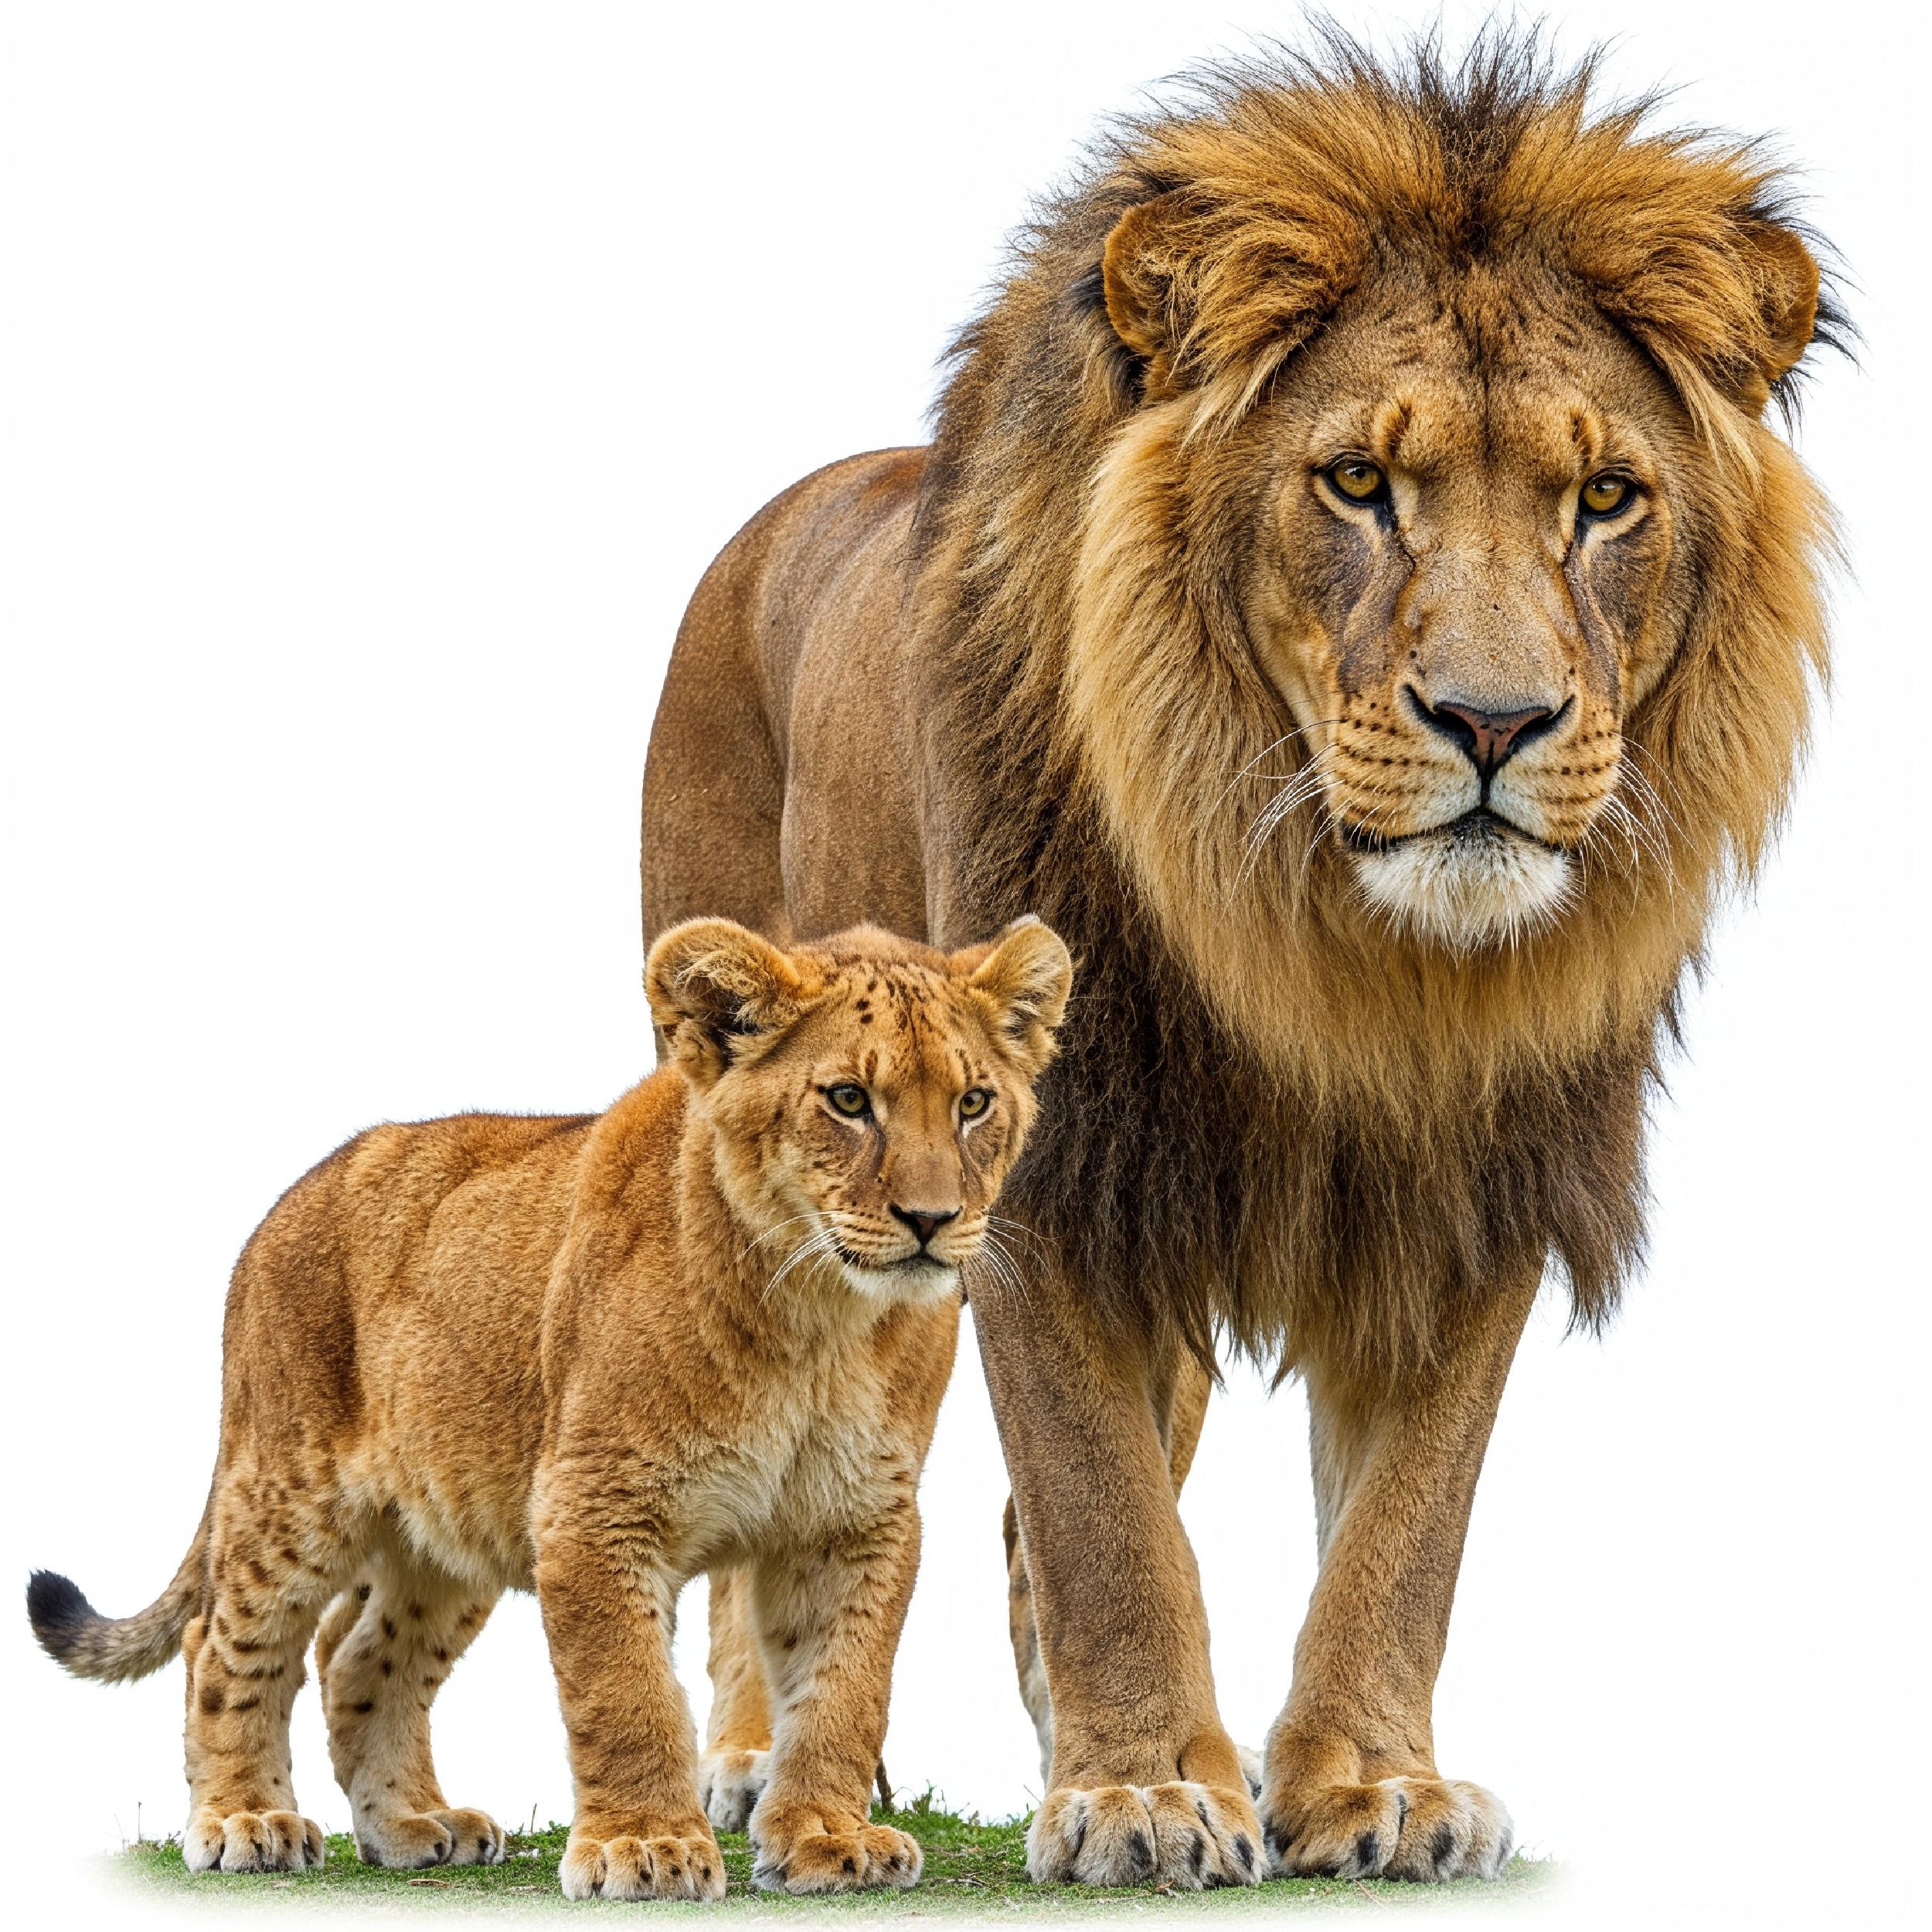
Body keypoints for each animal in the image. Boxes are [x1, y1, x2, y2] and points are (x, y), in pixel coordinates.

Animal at [27, 915, 1073, 1900]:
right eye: (849, 1100)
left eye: (974, 1103)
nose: (932, 1221)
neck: (818, 1323)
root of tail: (288, 1199)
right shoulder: (593, 1503)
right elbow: (625, 1689)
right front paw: (644, 1847)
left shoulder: (857, 1518)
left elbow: (843, 1686)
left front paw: (825, 1837)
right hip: (288, 1489)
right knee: (224, 1644)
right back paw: (246, 1820)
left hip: (448, 1530)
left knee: (360, 1656)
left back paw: (413, 1824)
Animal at [639, 27, 1840, 1888]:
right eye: (1356, 482)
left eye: (1603, 500)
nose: (1493, 721)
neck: (1330, 948)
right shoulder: (1042, 1169)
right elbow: (1103, 1511)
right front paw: (1141, 1792)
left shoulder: (1477, 1182)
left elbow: (1406, 1523)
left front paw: (1365, 1780)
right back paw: (765, 1762)